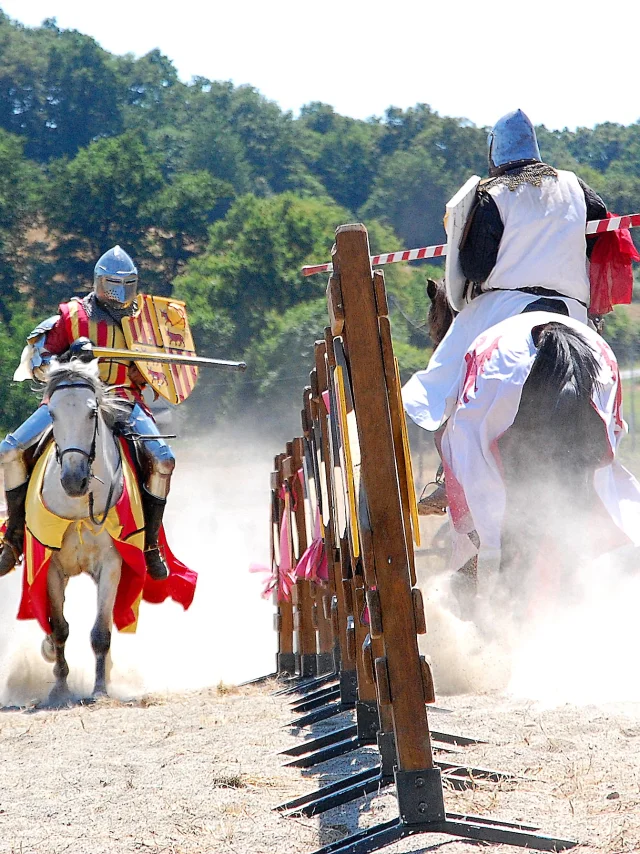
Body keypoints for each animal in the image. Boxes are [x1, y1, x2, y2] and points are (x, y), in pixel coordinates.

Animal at [0, 247, 175, 580]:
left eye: (93, 414)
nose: (74, 479)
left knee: (162, 462)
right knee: (10, 450)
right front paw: (80, 347)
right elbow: (42, 354)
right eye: (53, 415)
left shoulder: (113, 562)